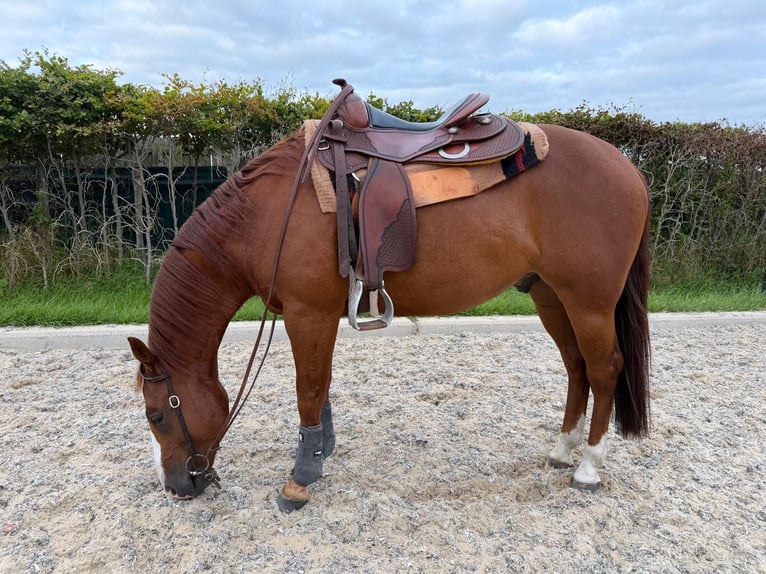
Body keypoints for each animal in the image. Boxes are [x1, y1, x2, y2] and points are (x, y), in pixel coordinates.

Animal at [128, 97, 651, 511]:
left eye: (156, 415)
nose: (175, 487)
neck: (263, 217)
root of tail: (628, 167)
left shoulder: (307, 313)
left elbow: (308, 390)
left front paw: (300, 479)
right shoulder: (317, 316)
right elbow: (322, 388)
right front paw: (322, 452)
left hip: (589, 301)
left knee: (604, 369)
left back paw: (588, 467)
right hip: (550, 295)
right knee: (576, 367)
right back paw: (562, 450)